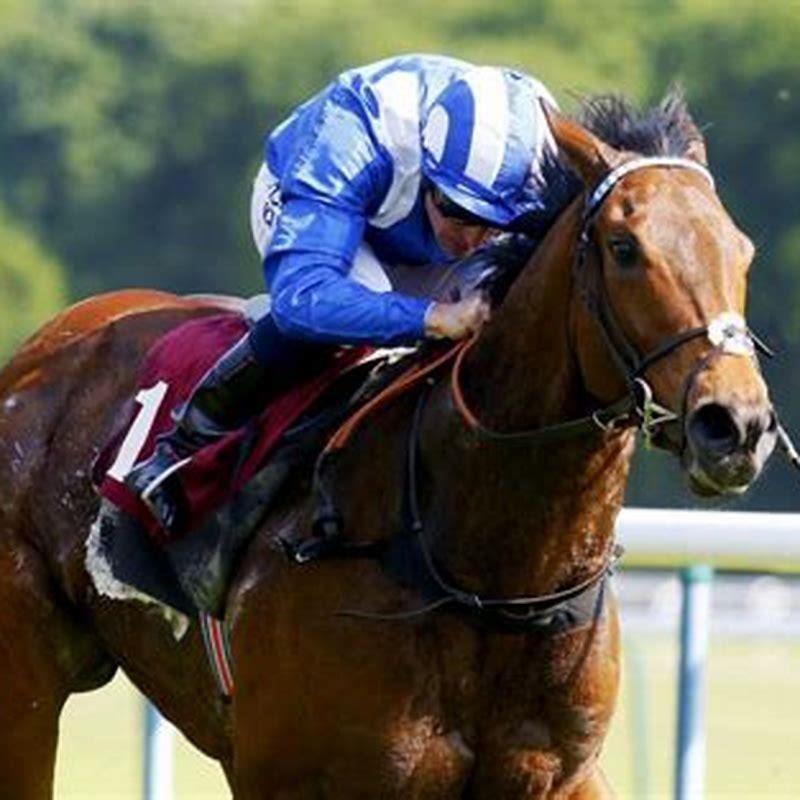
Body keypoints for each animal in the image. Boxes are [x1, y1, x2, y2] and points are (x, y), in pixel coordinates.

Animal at [0, 92, 777, 799]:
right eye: (624, 249)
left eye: (743, 252)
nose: (734, 424)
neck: (487, 576)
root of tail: (48, 344)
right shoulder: (292, 777)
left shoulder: (562, 776)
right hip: (29, 683)